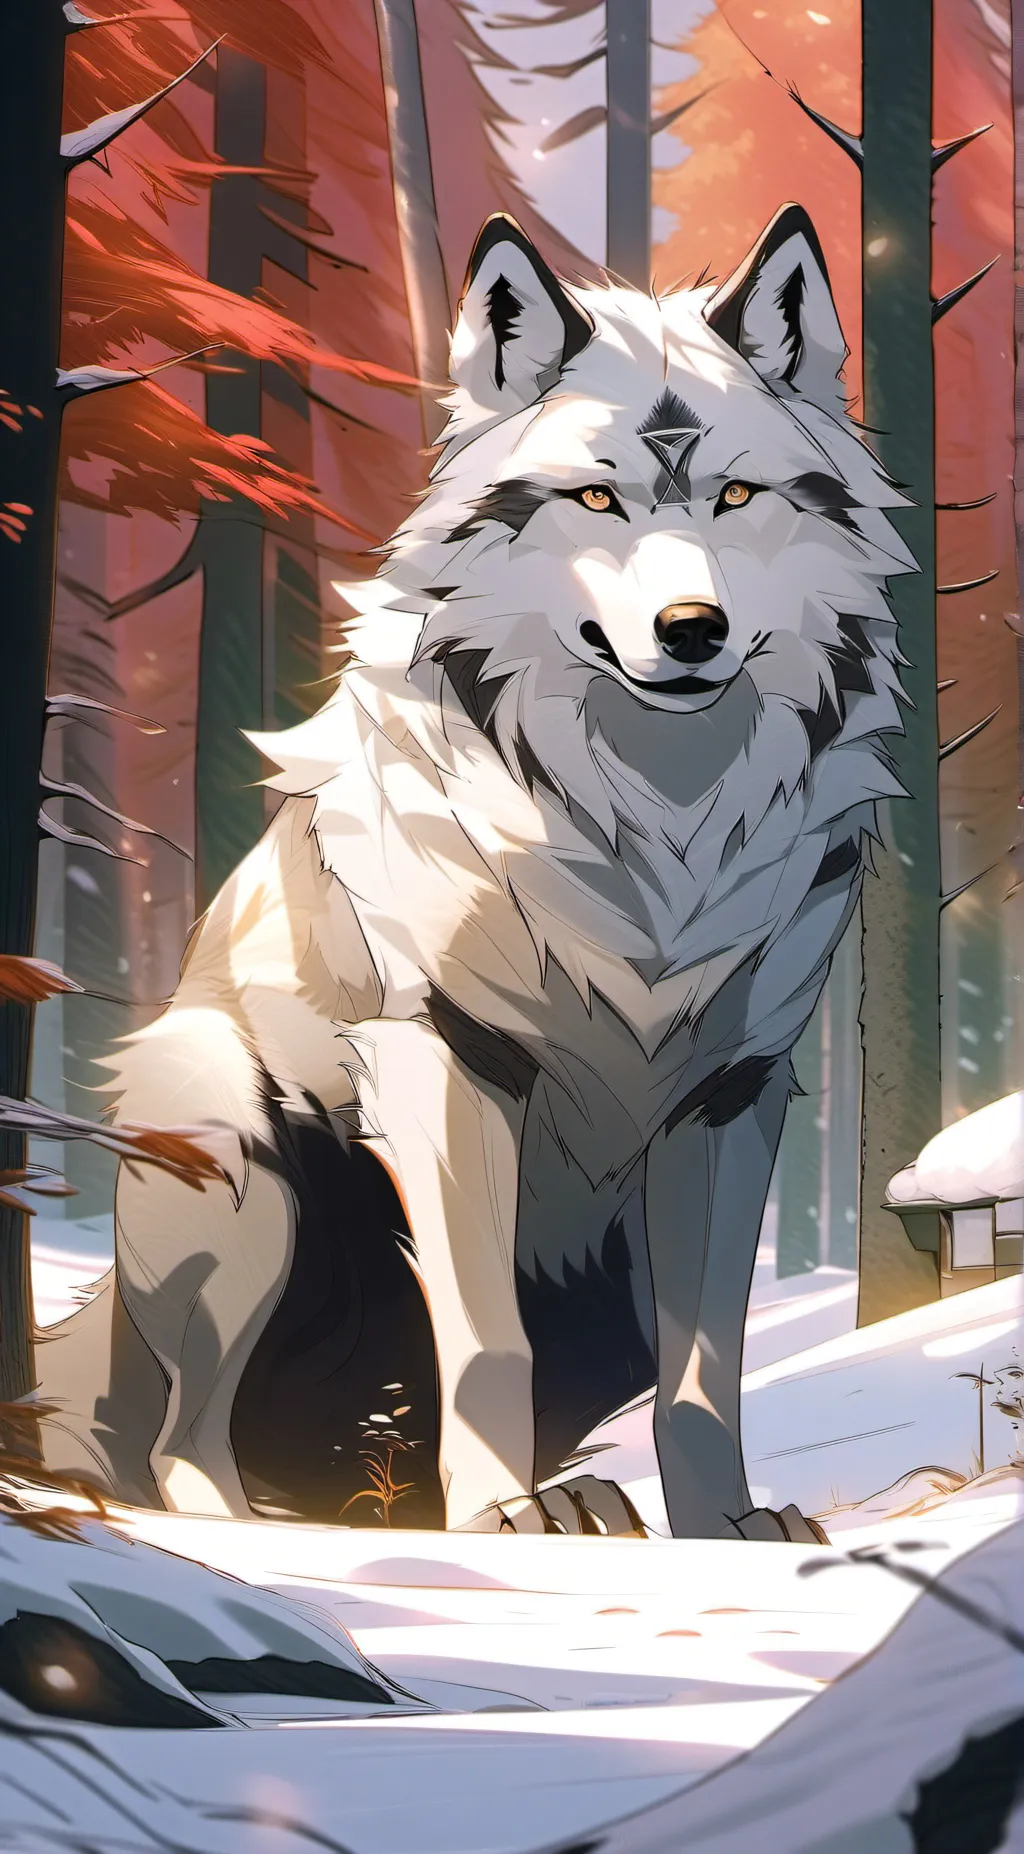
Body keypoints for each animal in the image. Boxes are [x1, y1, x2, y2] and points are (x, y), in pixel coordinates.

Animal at [32, 206, 912, 1541]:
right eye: (595, 496)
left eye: (736, 496)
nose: (691, 631)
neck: (652, 832)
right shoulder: (444, 1064)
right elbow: (489, 1342)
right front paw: (498, 1517)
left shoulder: (731, 1100)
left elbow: (707, 1372)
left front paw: (724, 1529)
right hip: (225, 1140)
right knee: (182, 1442)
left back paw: (564, 1498)